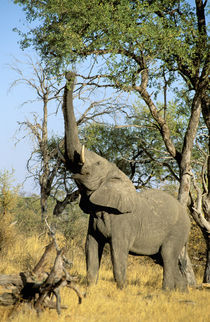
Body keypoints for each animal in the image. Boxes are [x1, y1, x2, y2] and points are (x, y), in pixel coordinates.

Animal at [60, 73, 190, 292]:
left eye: (97, 163)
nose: (71, 73)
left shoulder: (123, 221)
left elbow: (117, 251)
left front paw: (122, 289)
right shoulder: (94, 219)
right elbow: (90, 248)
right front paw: (90, 288)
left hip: (177, 231)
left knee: (168, 257)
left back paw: (165, 292)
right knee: (163, 259)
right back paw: (180, 292)